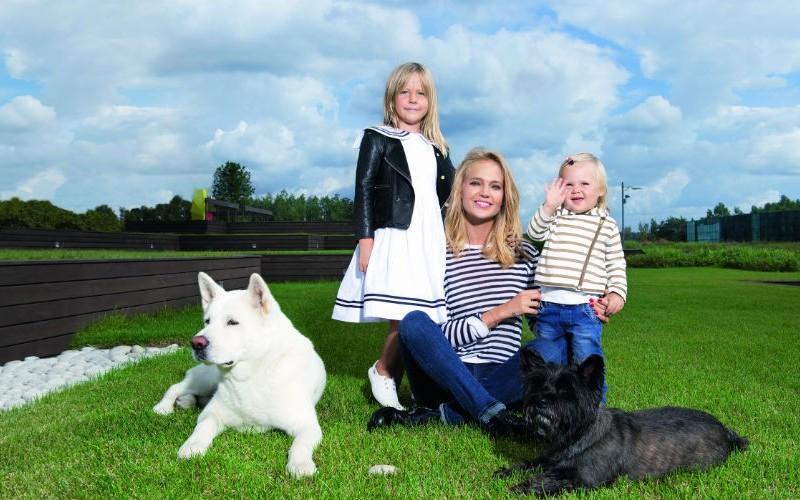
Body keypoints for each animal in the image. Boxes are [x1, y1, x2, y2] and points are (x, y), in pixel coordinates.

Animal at [153, 272, 326, 478]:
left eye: (232, 322)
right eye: (207, 321)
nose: (196, 343)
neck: (252, 374)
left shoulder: (307, 425)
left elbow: (300, 445)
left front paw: (300, 464)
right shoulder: (212, 414)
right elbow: (202, 427)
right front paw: (192, 446)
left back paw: (186, 401)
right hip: (206, 379)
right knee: (176, 387)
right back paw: (164, 407)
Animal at [495, 349, 747, 495]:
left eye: (567, 390)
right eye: (538, 384)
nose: (541, 401)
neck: (579, 435)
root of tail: (725, 431)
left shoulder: (585, 479)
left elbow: (549, 480)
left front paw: (521, 487)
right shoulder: (548, 459)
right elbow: (530, 463)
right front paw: (507, 471)